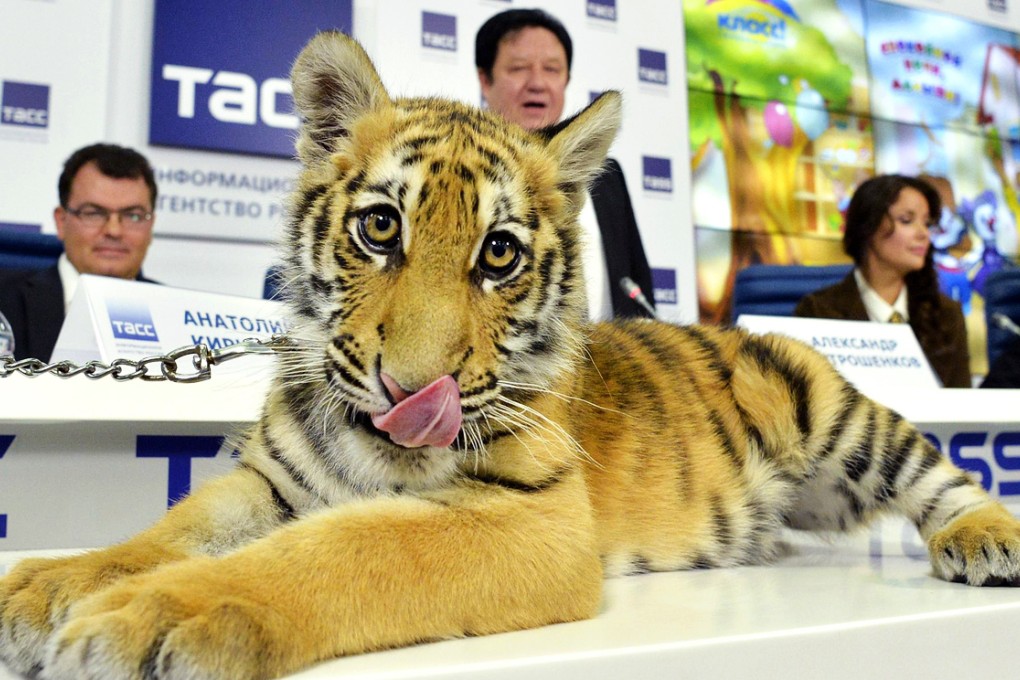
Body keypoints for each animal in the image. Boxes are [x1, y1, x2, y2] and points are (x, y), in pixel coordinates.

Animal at [2, 30, 1019, 680]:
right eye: (381, 228)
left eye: (498, 254)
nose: (413, 388)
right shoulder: (271, 482)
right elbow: (169, 532)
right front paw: (50, 585)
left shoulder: (531, 515)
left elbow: (344, 550)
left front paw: (156, 617)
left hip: (827, 402)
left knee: (939, 475)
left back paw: (986, 539)